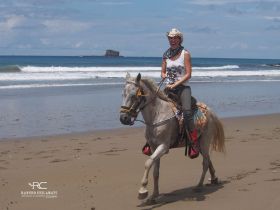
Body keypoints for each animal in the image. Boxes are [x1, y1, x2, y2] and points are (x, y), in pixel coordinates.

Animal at [119, 73, 224, 203]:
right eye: (123, 94)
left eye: (134, 95)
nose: (123, 118)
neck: (157, 115)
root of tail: (210, 112)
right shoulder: (154, 147)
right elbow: (156, 172)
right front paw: (154, 196)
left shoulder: (163, 147)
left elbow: (148, 163)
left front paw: (143, 191)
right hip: (198, 144)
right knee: (208, 159)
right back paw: (214, 178)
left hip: (205, 141)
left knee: (205, 162)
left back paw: (199, 186)